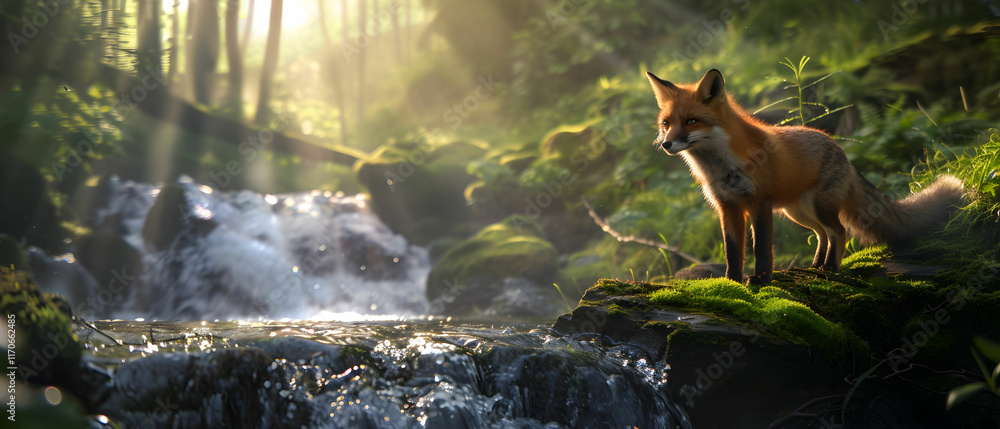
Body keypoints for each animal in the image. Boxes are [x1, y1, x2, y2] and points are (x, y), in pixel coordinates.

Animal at [645, 69, 964, 285]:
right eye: (666, 123)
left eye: (691, 121)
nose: (667, 144)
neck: (724, 166)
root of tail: (842, 150)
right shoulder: (728, 207)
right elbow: (732, 251)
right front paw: (731, 282)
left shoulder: (759, 202)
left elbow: (761, 247)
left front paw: (761, 280)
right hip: (798, 212)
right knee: (823, 234)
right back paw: (814, 266)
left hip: (818, 207)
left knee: (839, 231)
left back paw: (830, 270)